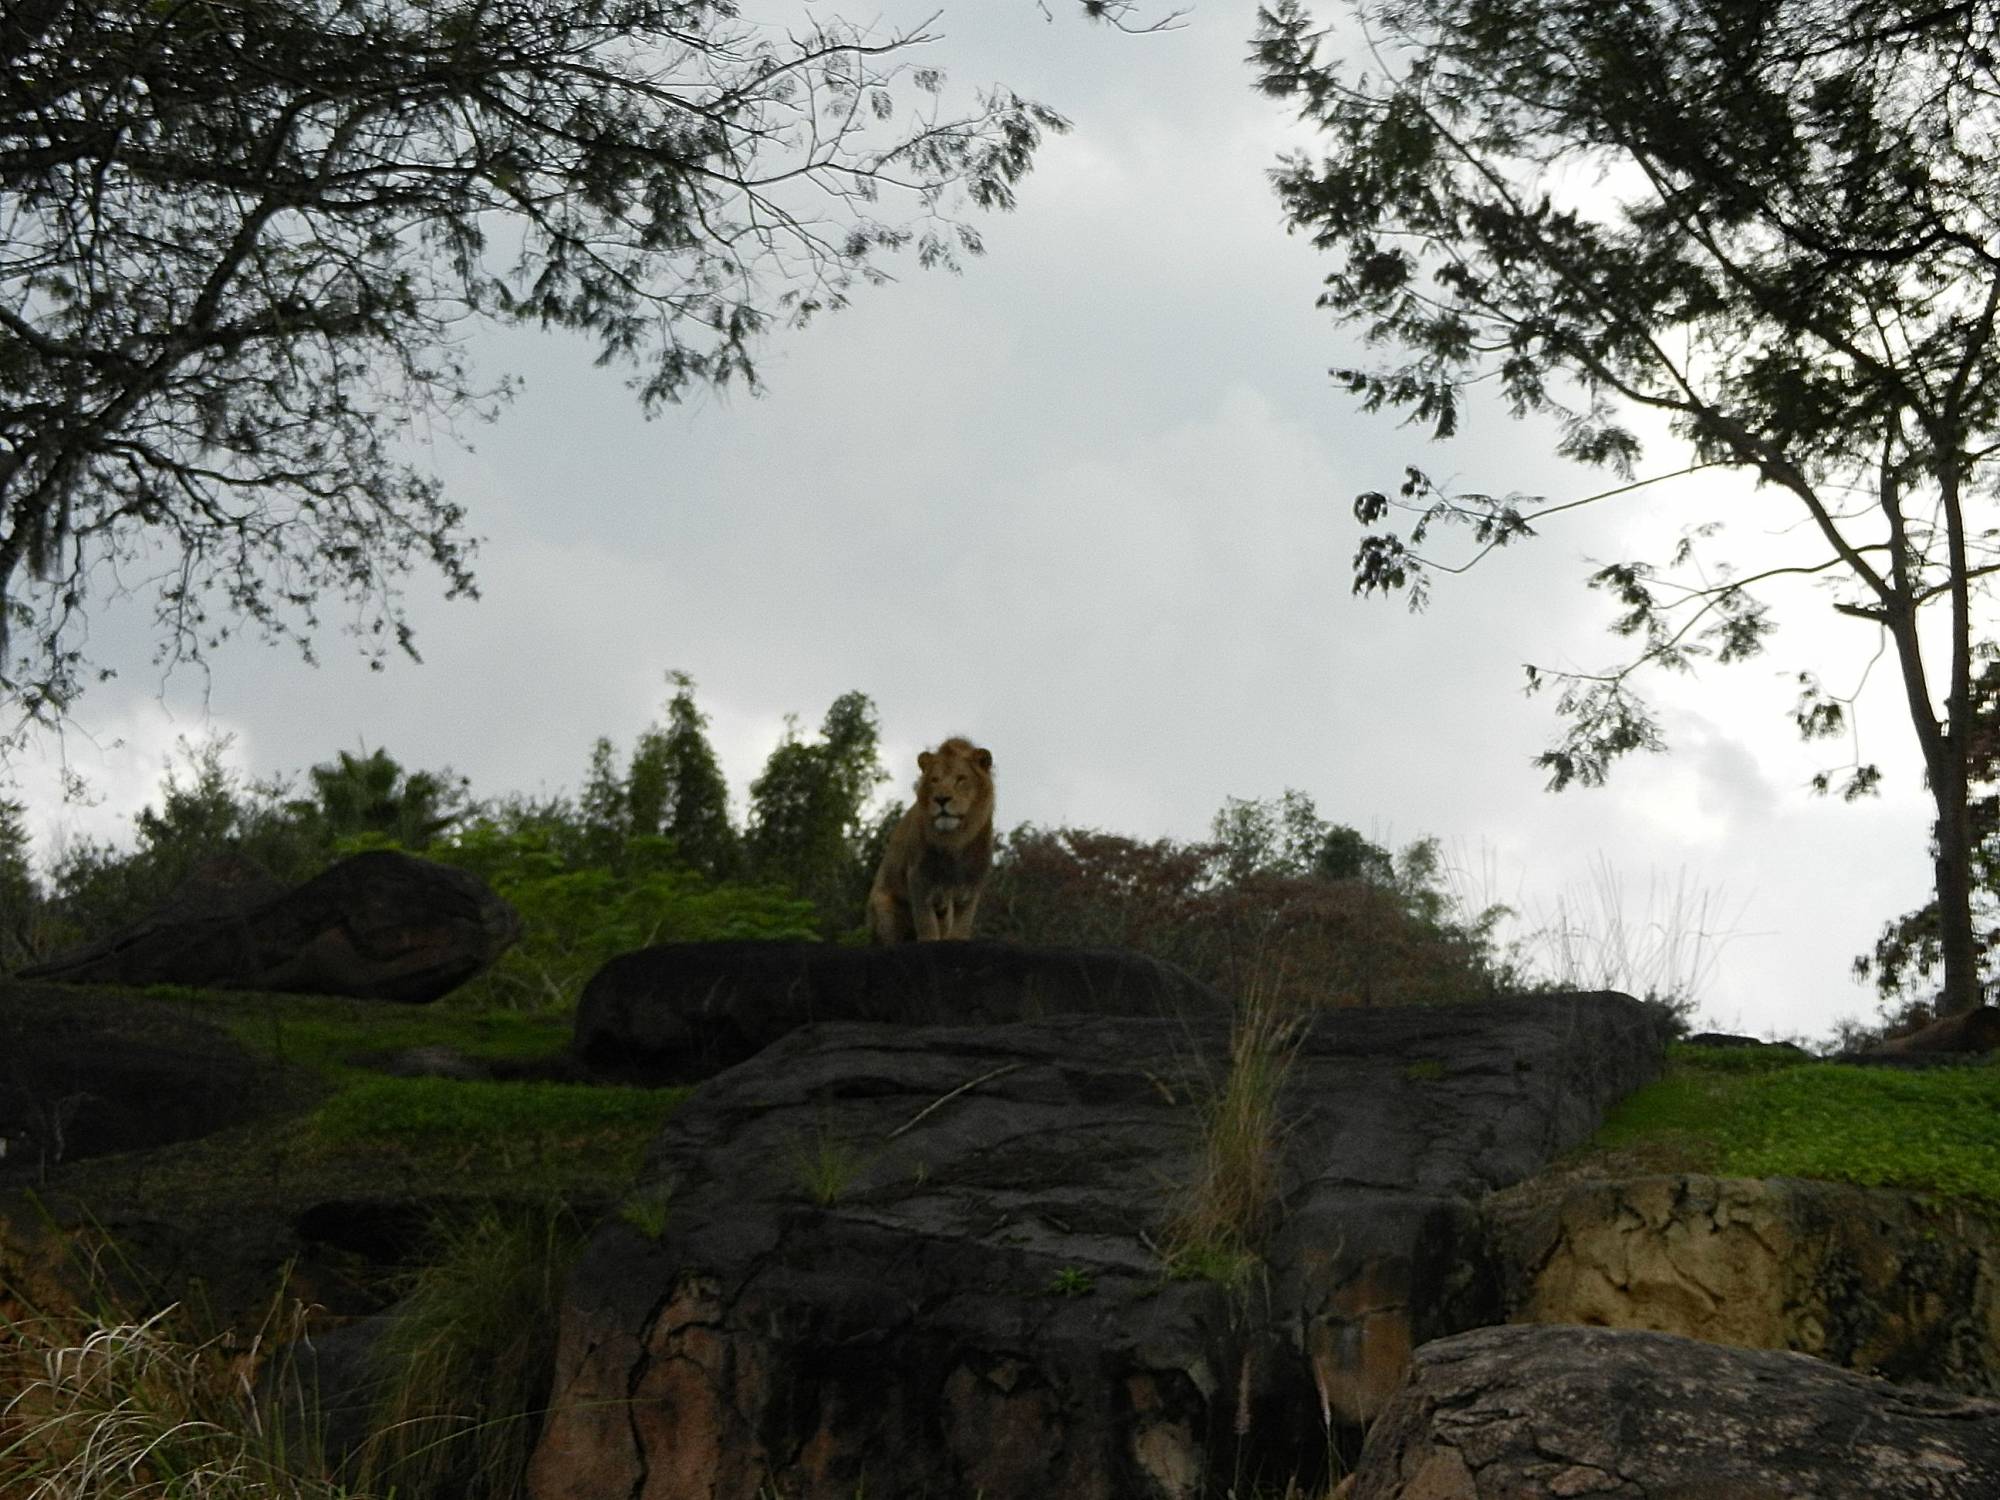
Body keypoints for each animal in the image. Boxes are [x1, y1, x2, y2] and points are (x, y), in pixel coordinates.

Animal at [868, 744, 1000, 944]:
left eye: (961, 779)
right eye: (935, 780)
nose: (941, 799)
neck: (955, 840)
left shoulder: (970, 887)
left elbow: (960, 929)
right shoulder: (918, 879)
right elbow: (927, 926)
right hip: (884, 908)